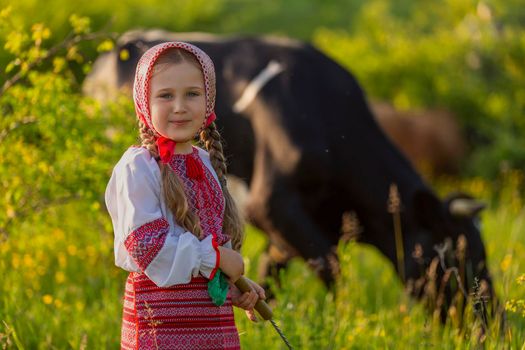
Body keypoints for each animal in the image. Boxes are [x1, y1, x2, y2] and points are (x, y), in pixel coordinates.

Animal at [86, 30, 496, 322]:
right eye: (453, 255)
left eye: (482, 253)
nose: (491, 324)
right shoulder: (272, 205)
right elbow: (332, 270)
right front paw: (338, 323)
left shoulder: (288, 228)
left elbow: (271, 276)